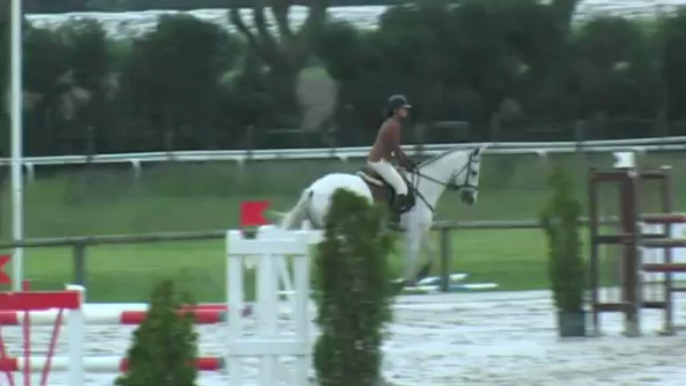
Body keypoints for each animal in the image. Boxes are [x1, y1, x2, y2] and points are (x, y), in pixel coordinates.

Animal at [280, 145, 490, 284]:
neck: (425, 185)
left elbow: (430, 253)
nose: (471, 198)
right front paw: (409, 280)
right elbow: (412, 257)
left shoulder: (416, 231)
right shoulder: (414, 231)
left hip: (314, 227)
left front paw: (422, 274)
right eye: (474, 172)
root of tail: (314, 189)